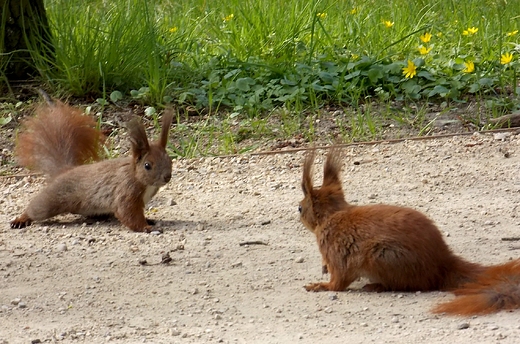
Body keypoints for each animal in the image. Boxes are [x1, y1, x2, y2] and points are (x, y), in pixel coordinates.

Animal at [10, 100, 174, 234]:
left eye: (170, 160)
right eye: (147, 165)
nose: (167, 177)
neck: (138, 177)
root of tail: (66, 170)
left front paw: (148, 220)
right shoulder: (125, 190)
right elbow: (128, 213)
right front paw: (146, 227)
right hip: (54, 197)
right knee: (37, 208)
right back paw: (21, 219)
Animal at [298, 147, 520, 314]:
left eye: (300, 208)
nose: (298, 213)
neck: (332, 215)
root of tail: (442, 264)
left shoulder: (336, 253)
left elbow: (338, 281)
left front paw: (321, 286)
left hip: (383, 257)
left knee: (414, 285)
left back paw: (377, 286)